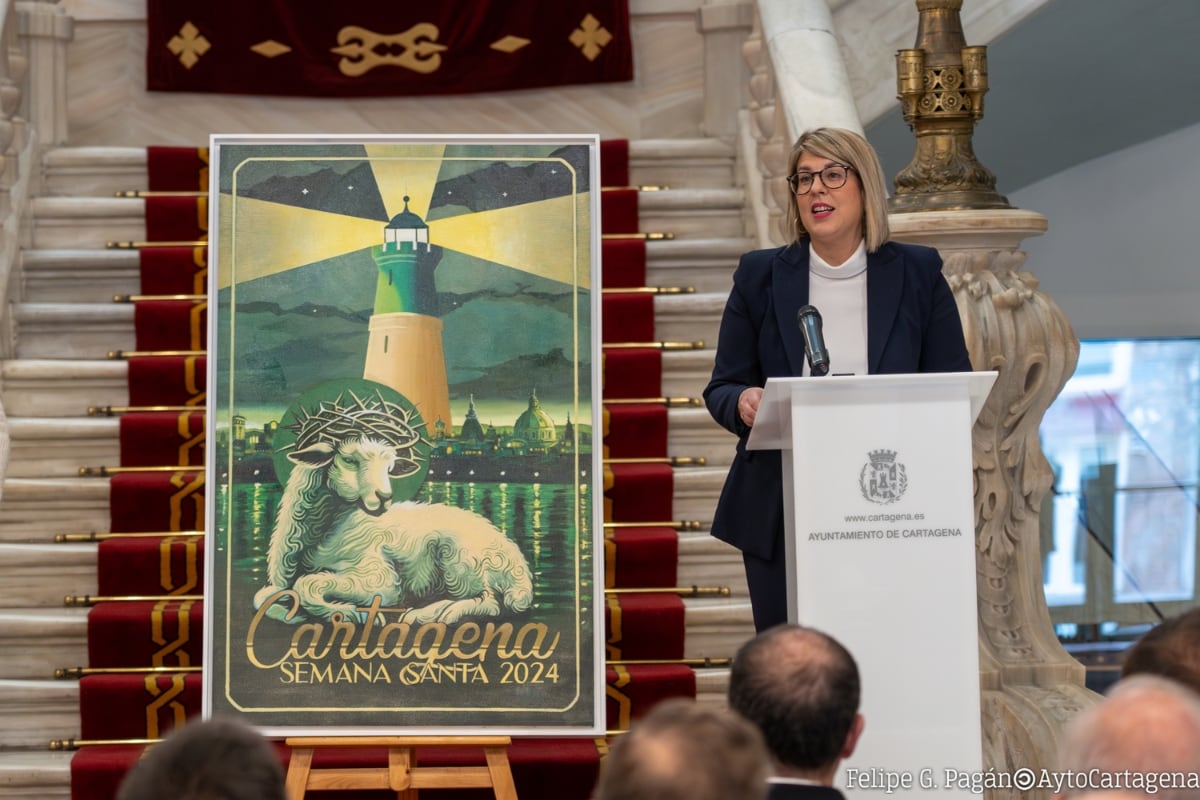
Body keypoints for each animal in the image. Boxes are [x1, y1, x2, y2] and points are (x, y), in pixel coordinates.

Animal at [255, 434, 532, 628]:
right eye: (349, 460)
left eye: (389, 468)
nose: (385, 498)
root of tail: (516, 562)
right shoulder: (278, 584)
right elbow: (264, 596)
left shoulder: (381, 579)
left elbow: (307, 583)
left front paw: (352, 613)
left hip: (460, 558)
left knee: (490, 601)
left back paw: (429, 615)